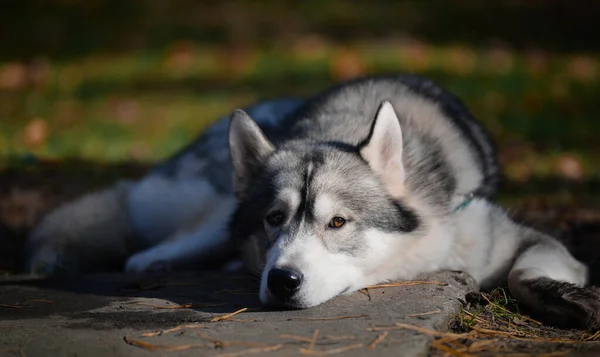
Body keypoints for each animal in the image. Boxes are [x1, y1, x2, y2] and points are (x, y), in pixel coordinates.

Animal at [27, 74, 600, 328]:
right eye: (274, 219)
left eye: (339, 222)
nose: (282, 281)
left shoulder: (509, 238)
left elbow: (525, 271)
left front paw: (565, 298)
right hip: (206, 215)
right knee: (140, 240)